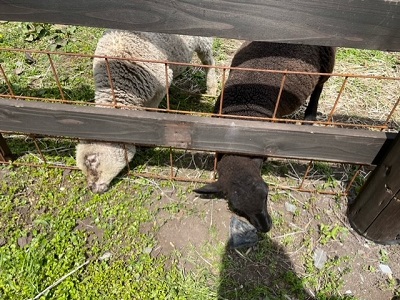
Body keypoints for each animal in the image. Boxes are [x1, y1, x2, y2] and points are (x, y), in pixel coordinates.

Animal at [76, 29, 217, 192]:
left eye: (92, 160)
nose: (92, 189)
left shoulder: (162, 83)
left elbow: (152, 110)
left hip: (203, 40)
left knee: (208, 60)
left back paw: (212, 88)